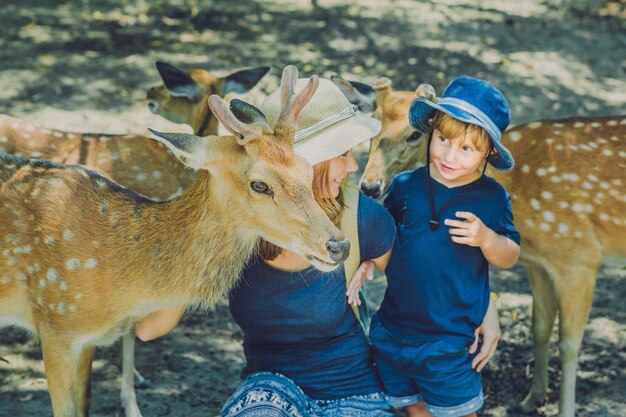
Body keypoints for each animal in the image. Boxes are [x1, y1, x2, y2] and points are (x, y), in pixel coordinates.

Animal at [334, 75, 624, 416]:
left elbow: (569, 344)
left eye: (414, 134)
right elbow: (540, 328)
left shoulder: (580, 256)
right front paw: (530, 399)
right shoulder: (540, 262)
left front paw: (563, 409)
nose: (370, 185)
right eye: (373, 125)